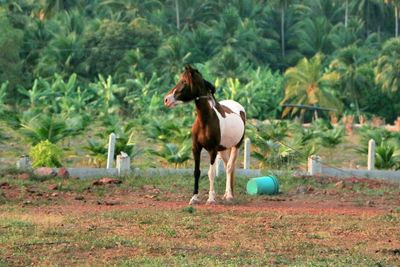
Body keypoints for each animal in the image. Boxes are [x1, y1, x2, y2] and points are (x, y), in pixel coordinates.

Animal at [163, 65, 245, 205]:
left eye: (184, 81)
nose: (166, 100)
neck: (205, 121)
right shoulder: (196, 148)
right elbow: (197, 172)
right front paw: (194, 198)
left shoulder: (212, 150)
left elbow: (211, 173)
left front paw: (211, 198)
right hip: (223, 149)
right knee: (227, 166)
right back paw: (226, 194)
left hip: (236, 146)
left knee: (229, 168)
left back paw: (229, 196)